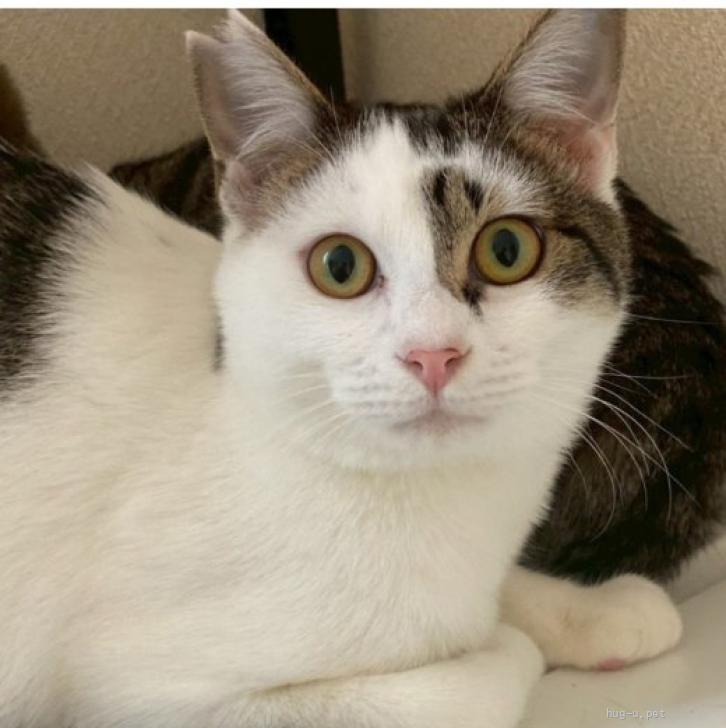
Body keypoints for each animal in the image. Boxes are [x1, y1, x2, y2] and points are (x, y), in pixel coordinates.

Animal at [0, 9, 697, 728]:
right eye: (339, 265)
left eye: (506, 249)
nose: (433, 353)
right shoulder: (135, 692)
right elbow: (487, 673)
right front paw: (506, 636)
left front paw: (591, 609)